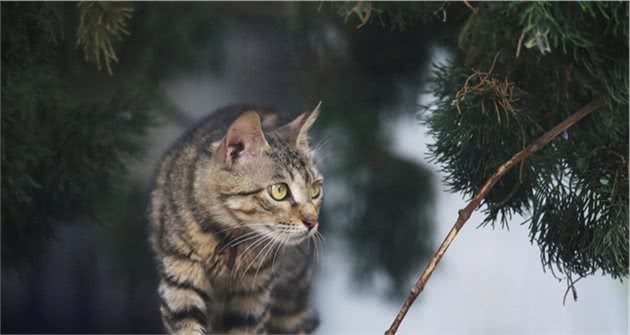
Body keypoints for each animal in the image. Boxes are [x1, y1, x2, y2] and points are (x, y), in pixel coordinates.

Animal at [149, 103, 326, 334]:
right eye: (279, 191)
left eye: (315, 190)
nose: (313, 222)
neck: (228, 235)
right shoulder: (180, 278)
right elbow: (188, 326)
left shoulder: (253, 295)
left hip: (291, 296)